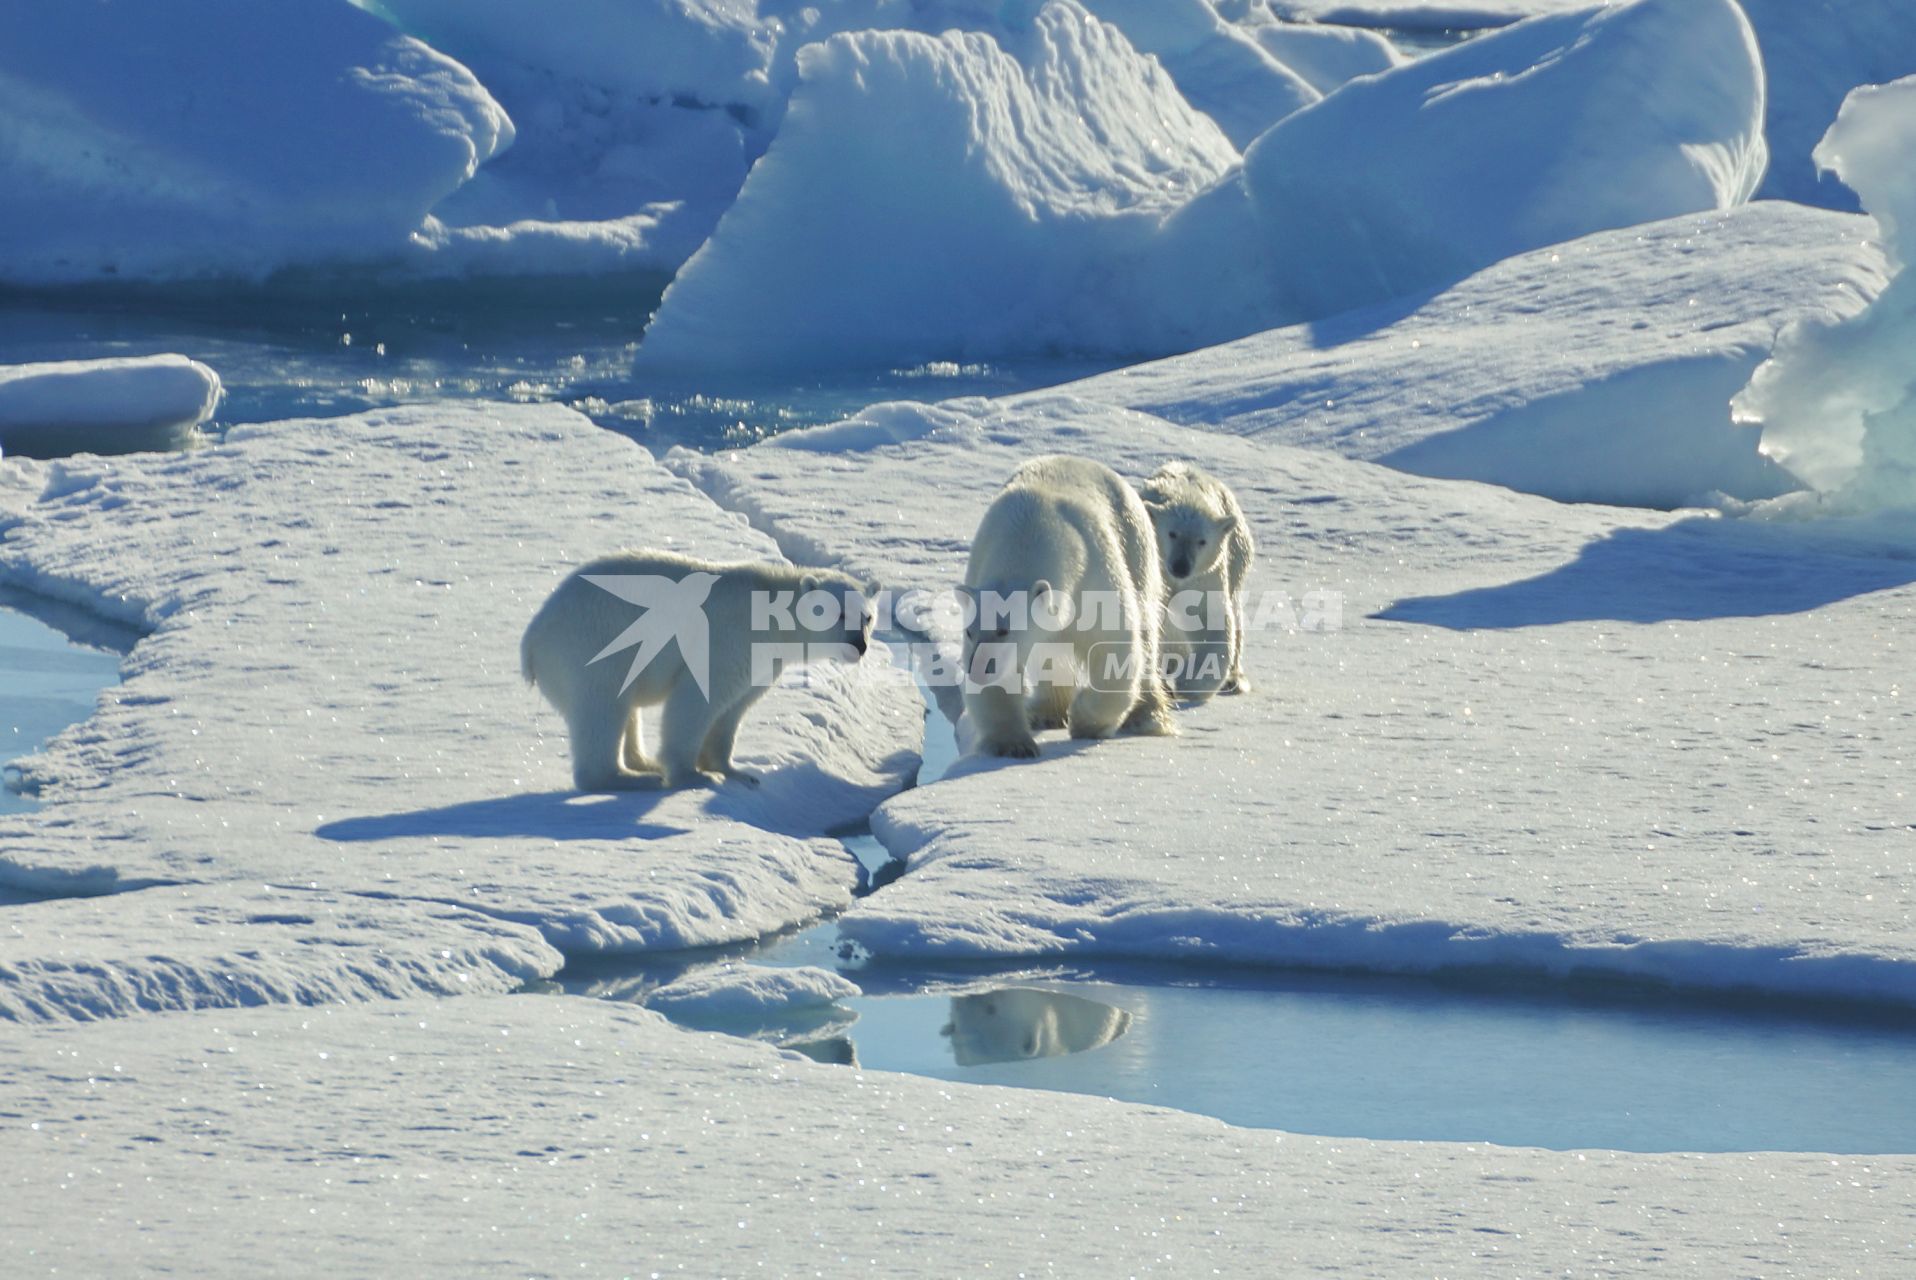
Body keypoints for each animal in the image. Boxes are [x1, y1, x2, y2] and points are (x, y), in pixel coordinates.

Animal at [965, 457, 1172, 758]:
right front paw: (1014, 744)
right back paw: (1045, 712)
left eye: (1004, 630)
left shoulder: (1094, 571)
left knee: (1146, 631)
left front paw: (1086, 723)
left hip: (1135, 542)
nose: (979, 669)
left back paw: (1146, 716)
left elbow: (1113, 643)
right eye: (970, 633)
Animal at [1134, 459, 1256, 701]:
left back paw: (1234, 680)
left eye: (1202, 541)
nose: (1181, 566)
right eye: (1172, 533)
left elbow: (1208, 617)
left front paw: (1189, 681)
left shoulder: (1205, 576)